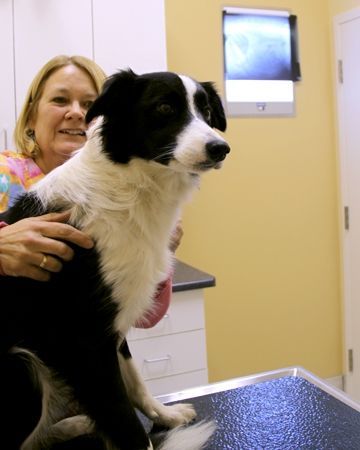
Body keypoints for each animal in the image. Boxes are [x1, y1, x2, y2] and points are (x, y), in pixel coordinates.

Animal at [0, 68, 231, 448]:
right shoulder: (86, 337)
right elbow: (122, 414)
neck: (132, 187)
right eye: (164, 107)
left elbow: (133, 380)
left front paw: (164, 415)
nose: (221, 148)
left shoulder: (116, 317)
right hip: (21, 362)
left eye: (207, 112)